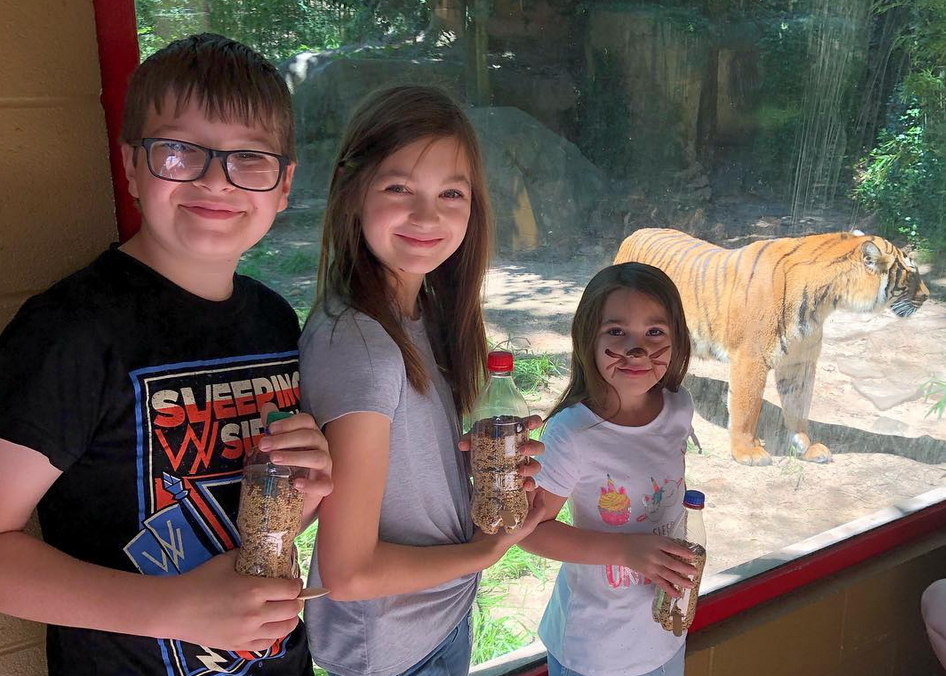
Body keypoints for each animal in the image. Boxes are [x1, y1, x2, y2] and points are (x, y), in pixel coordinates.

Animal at [612, 227, 928, 464]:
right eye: (912, 274)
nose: (926, 296)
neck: (826, 300)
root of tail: (634, 233)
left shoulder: (800, 362)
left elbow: (798, 406)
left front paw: (806, 447)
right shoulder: (751, 359)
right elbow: (747, 407)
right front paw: (747, 452)